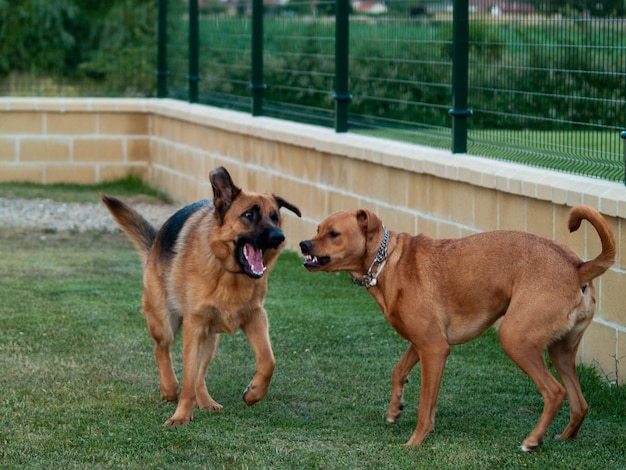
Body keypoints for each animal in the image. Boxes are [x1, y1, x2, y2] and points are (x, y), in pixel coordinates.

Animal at [102, 166, 300, 426]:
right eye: (249, 214)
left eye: (275, 216)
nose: (279, 237)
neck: (227, 273)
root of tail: (154, 243)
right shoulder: (194, 327)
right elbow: (187, 378)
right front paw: (181, 416)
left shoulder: (255, 316)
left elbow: (268, 361)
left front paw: (254, 393)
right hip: (164, 322)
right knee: (162, 350)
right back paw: (169, 388)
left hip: (210, 339)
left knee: (200, 375)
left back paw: (205, 401)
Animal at [298, 207, 616, 452]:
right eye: (317, 229)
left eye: (333, 234)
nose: (303, 244)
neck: (387, 262)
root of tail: (577, 267)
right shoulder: (423, 343)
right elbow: (398, 371)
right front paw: (394, 409)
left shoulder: (434, 349)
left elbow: (425, 406)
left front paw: (415, 442)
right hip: (560, 351)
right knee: (580, 403)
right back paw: (565, 437)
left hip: (515, 339)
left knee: (555, 392)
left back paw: (532, 441)